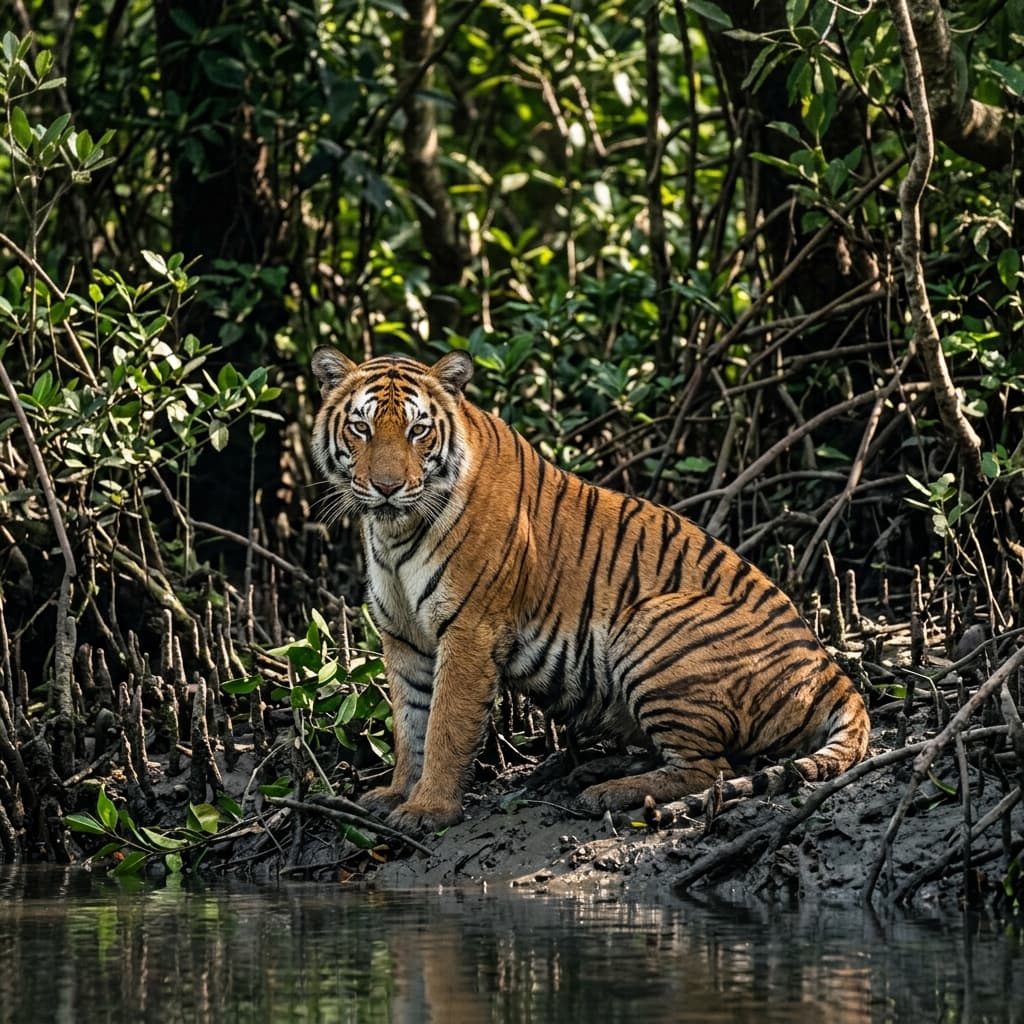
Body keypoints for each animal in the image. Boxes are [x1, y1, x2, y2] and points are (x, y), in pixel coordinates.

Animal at [311, 347, 871, 835]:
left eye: (418, 430)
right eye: (361, 428)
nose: (386, 487)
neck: (394, 530)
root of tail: (832, 672)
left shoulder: (470, 631)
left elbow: (445, 725)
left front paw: (428, 810)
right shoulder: (404, 637)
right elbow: (409, 724)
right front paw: (396, 793)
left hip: (650, 623)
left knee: (711, 767)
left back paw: (605, 792)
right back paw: (589, 772)